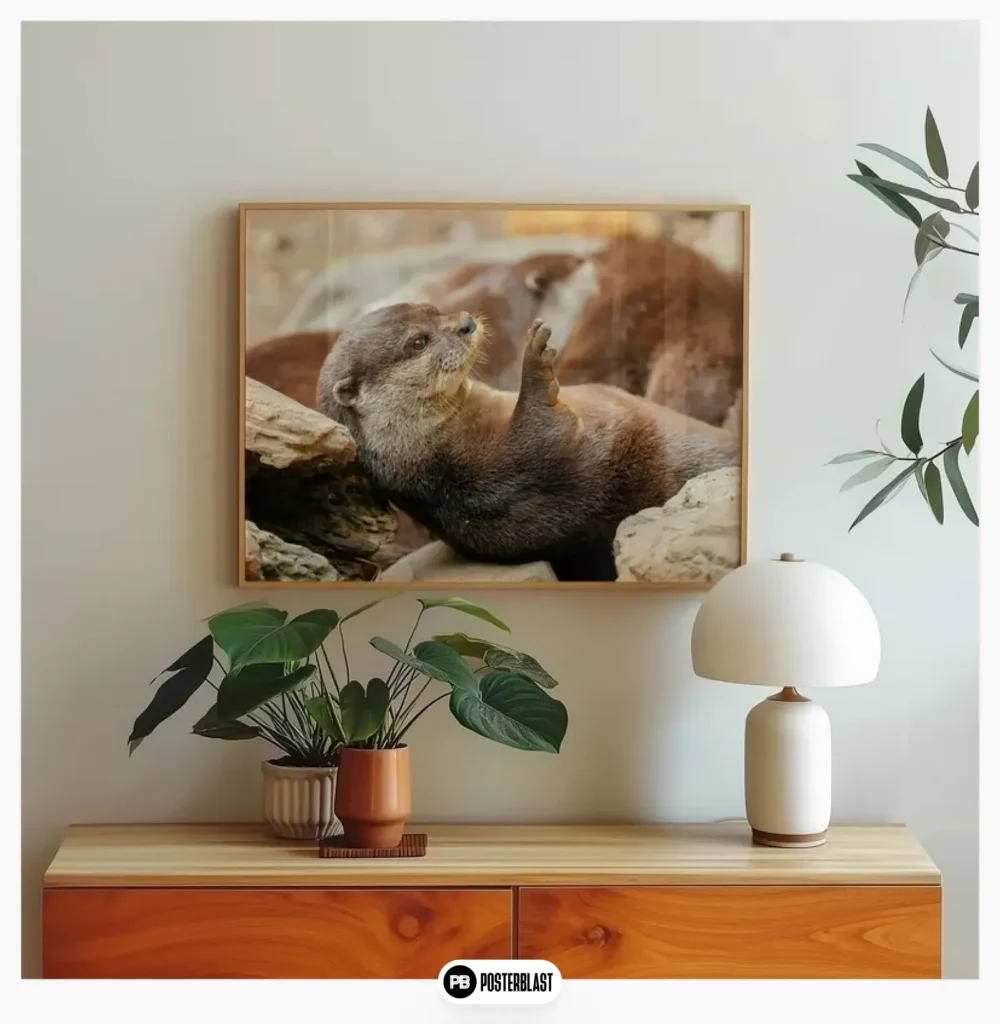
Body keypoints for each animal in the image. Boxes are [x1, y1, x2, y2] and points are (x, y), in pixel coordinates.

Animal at [317, 303, 738, 582]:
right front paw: (536, 361)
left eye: (434, 309)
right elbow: (549, 434)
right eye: (418, 341)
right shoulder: (504, 472)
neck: (436, 457)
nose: (465, 323)